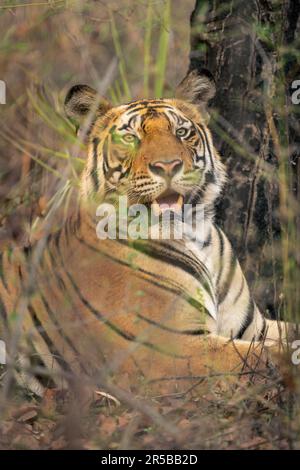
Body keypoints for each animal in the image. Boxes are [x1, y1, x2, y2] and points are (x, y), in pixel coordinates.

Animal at [0, 67, 296, 396]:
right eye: (130, 138)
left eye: (181, 132)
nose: (168, 166)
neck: (196, 237)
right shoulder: (166, 349)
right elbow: (264, 356)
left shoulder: (253, 326)